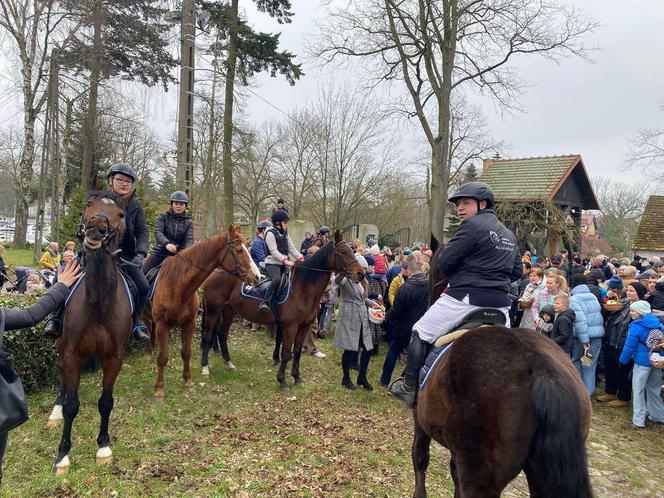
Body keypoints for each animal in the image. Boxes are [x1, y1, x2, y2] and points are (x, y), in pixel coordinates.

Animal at [49, 191, 132, 474]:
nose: (96, 228)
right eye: (88, 204)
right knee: (63, 380)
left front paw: (104, 446)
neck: (98, 303)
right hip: (61, 347)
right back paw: (56, 409)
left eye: (121, 214)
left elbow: (106, 402)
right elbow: (72, 405)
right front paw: (63, 455)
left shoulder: (114, 358)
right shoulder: (73, 354)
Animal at [145, 225, 260, 396]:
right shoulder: (163, 325)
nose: (257, 277)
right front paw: (159, 388)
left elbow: (186, 353)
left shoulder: (189, 324)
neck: (178, 285)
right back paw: (147, 352)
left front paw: (188, 381)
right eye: (239, 250)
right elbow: (162, 357)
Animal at [201, 230, 364, 390]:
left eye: (351, 250)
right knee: (208, 335)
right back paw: (205, 368)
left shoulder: (304, 326)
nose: (361, 274)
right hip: (213, 310)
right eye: (343, 252)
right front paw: (282, 380)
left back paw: (228, 363)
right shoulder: (290, 327)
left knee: (222, 334)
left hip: (228, 310)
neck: (302, 288)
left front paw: (296, 377)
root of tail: (216, 270)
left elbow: (296, 351)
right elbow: (286, 353)